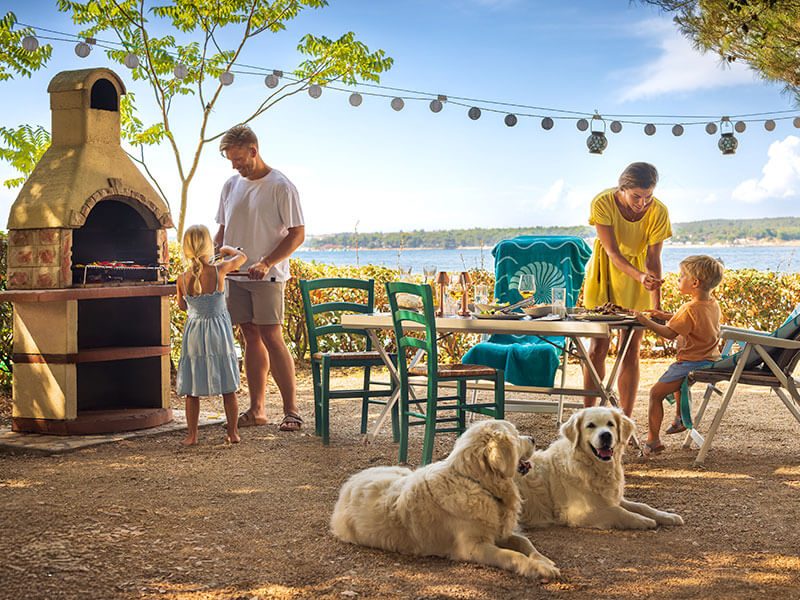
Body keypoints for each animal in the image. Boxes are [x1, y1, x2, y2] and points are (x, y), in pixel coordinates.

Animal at [328, 420, 560, 580]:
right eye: (515, 436)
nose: (532, 439)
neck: (477, 483)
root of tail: (350, 482)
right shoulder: (474, 547)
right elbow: (512, 555)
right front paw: (538, 568)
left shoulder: (499, 531)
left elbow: (525, 542)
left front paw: (544, 560)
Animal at [516, 408, 684, 528]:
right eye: (590, 425)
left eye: (610, 424)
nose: (606, 435)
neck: (597, 468)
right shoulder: (578, 513)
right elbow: (618, 511)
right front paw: (643, 520)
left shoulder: (612, 498)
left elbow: (643, 506)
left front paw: (668, 516)